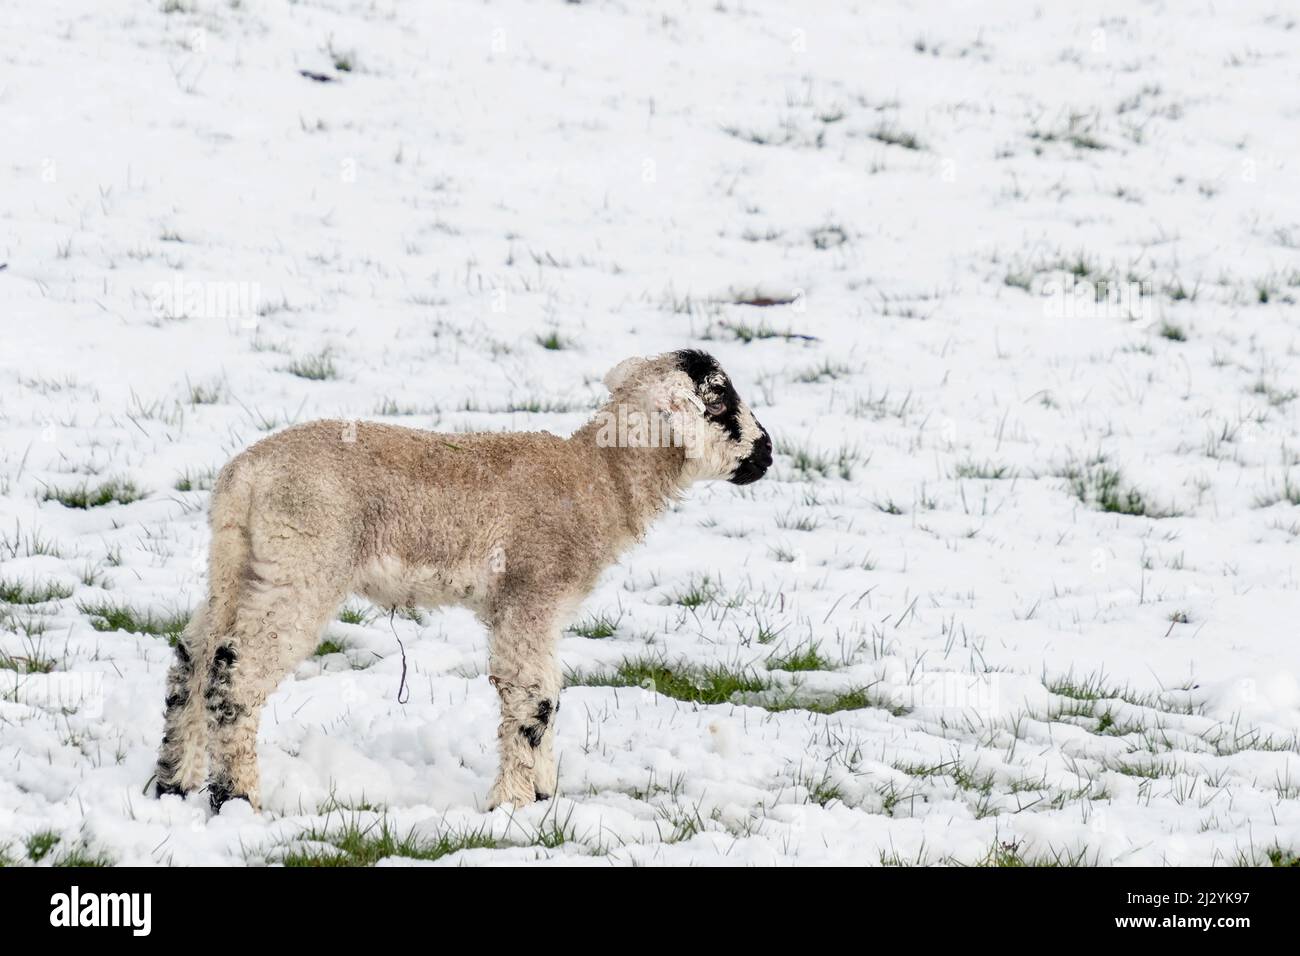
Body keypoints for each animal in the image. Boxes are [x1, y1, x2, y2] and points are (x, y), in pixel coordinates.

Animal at [152, 349, 772, 812]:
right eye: (720, 399)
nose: (767, 452)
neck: (599, 481)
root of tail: (243, 478)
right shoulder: (531, 594)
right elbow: (532, 697)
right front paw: (515, 804)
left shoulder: (535, 610)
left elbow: (550, 690)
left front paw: (543, 791)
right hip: (302, 562)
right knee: (235, 673)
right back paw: (236, 796)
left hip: (239, 563)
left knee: (193, 656)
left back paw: (175, 781)